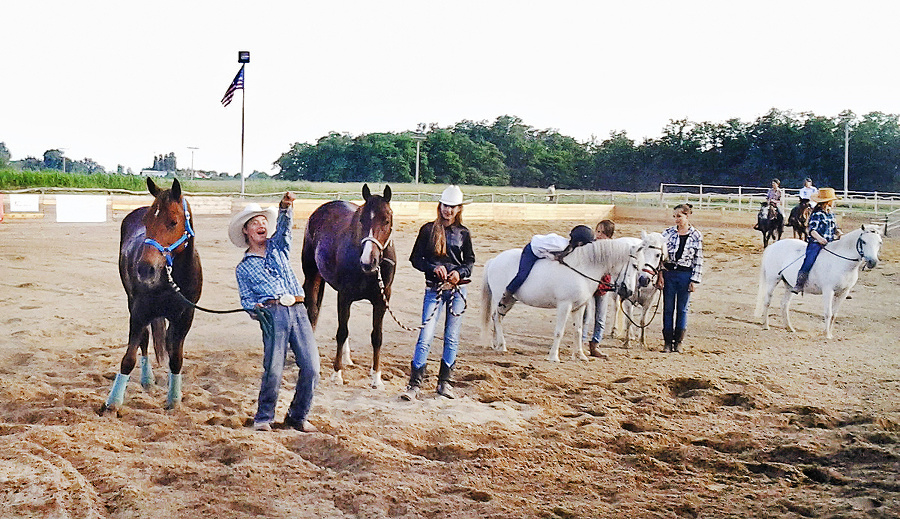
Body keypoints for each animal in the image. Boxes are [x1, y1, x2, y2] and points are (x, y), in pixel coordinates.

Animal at [101, 179, 201, 414]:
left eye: (173, 222)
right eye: (147, 222)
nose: (145, 269)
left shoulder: (185, 316)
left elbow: (176, 358)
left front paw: (174, 400)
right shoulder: (139, 313)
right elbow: (129, 358)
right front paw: (113, 402)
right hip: (133, 304)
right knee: (144, 341)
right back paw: (147, 380)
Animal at [300, 185, 396, 388]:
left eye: (386, 220)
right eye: (361, 219)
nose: (368, 261)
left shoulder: (382, 300)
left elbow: (377, 336)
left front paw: (376, 377)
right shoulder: (344, 296)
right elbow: (342, 332)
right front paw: (337, 374)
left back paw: (347, 358)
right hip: (311, 275)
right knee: (311, 308)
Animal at [482, 236, 652, 362]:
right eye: (635, 266)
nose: (628, 291)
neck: (582, 269)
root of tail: (494, 261)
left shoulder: (579, 307)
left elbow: (578, 330)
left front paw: (580, 355)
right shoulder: (565, 306)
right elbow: (560, 331)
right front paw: (553, 357)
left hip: (509, 301)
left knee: (497, 318)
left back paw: (497, 345)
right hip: (501, 297)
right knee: (496, 318)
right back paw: (502, 346)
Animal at [756, 225, 884, 340]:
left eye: (880, 242)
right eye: (863, 241)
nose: (872, 262)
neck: (841, 262)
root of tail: (772, 246)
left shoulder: (843, 293)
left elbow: (834, 314)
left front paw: (829, 333)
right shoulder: (828, 291)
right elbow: (828, 313)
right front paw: (827, 335)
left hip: (789, 285)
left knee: (784, 304)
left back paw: (789, 328)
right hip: (773, 280)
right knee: (767, 301)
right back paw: (765, 325)